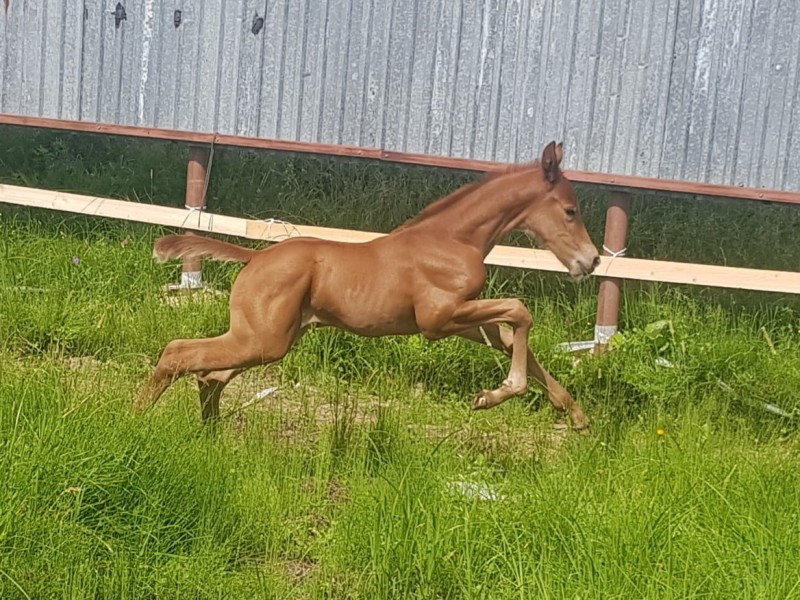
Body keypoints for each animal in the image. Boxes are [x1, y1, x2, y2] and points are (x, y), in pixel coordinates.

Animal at [136, 143, 600, 428]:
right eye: (570, 210)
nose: (591, 261)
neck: (452, 239)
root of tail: (256, 257)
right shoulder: (438, 319)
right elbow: (521, 311)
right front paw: (496, 393)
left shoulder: (460, 318)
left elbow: (509, 337)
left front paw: (575, 415)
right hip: (264, 339)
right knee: (180, 354)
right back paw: (136, 418)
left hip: (268, 338)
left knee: (209, 375)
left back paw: (211, 436)